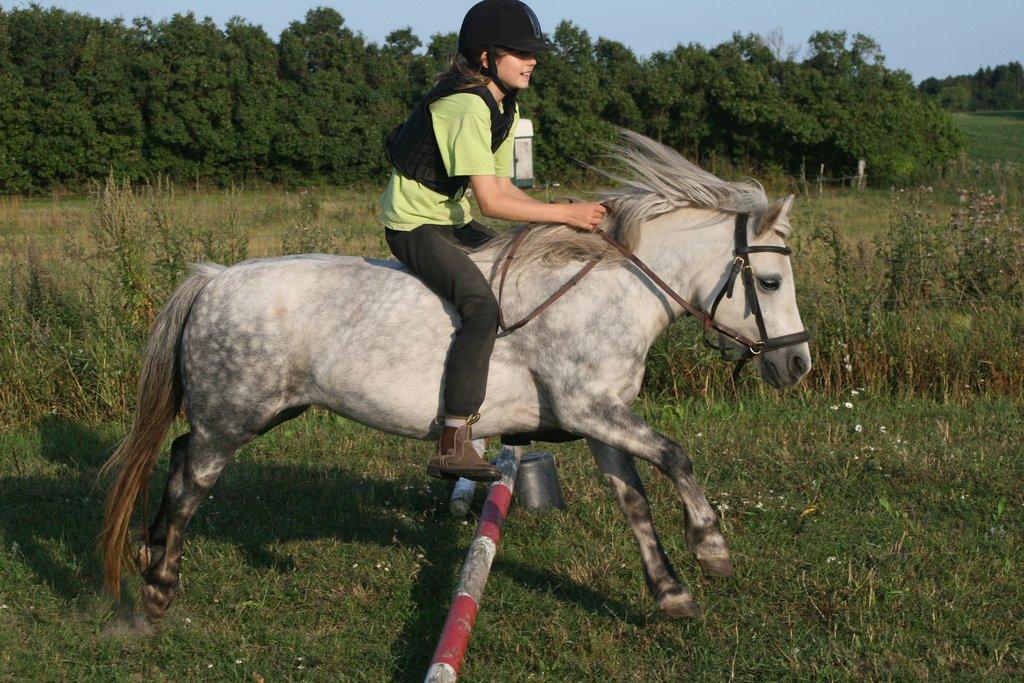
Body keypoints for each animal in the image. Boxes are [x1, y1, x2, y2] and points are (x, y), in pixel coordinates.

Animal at [101, 129, 806, 626]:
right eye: (771, 282)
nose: (796, 364)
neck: (608, 292)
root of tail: (213, 279)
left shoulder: (600, 421)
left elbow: (633, 499)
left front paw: (670, 593)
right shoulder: (591, 410)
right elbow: (676, 456)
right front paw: (712, 551)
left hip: (254, 412)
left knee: (179, 456)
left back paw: (149, 554)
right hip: (233, 417)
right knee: (191, 481)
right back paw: (157, 591)